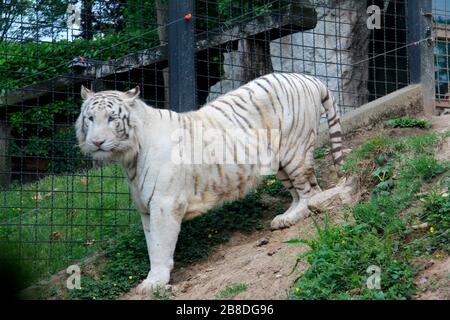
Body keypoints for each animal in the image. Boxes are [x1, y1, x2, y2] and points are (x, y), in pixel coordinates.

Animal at [75, 72, 342, 296]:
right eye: (90, 118)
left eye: (112, 118)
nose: (96, 142)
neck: (129, 157)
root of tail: (309, 78)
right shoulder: (146, 209)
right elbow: (152, 246)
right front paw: (154, 278)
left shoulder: (164, 205)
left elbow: (160, 246)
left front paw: (154, 283)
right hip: (279, 162)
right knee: (297, 193)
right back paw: (283, 218)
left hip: (294, 151)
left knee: (311, 191)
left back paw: (296, 215)